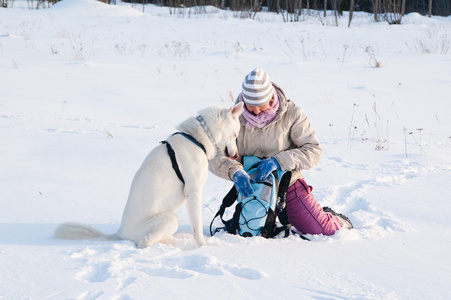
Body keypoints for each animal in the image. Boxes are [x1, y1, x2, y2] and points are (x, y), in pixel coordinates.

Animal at [54, 103, 245, 248]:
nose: (236, 156)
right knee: (143, 242)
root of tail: (120, 234)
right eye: (235, 134)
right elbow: (197, 227)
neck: (196, 138)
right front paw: (203, 246)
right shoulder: (193, 193)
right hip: (170, 219)